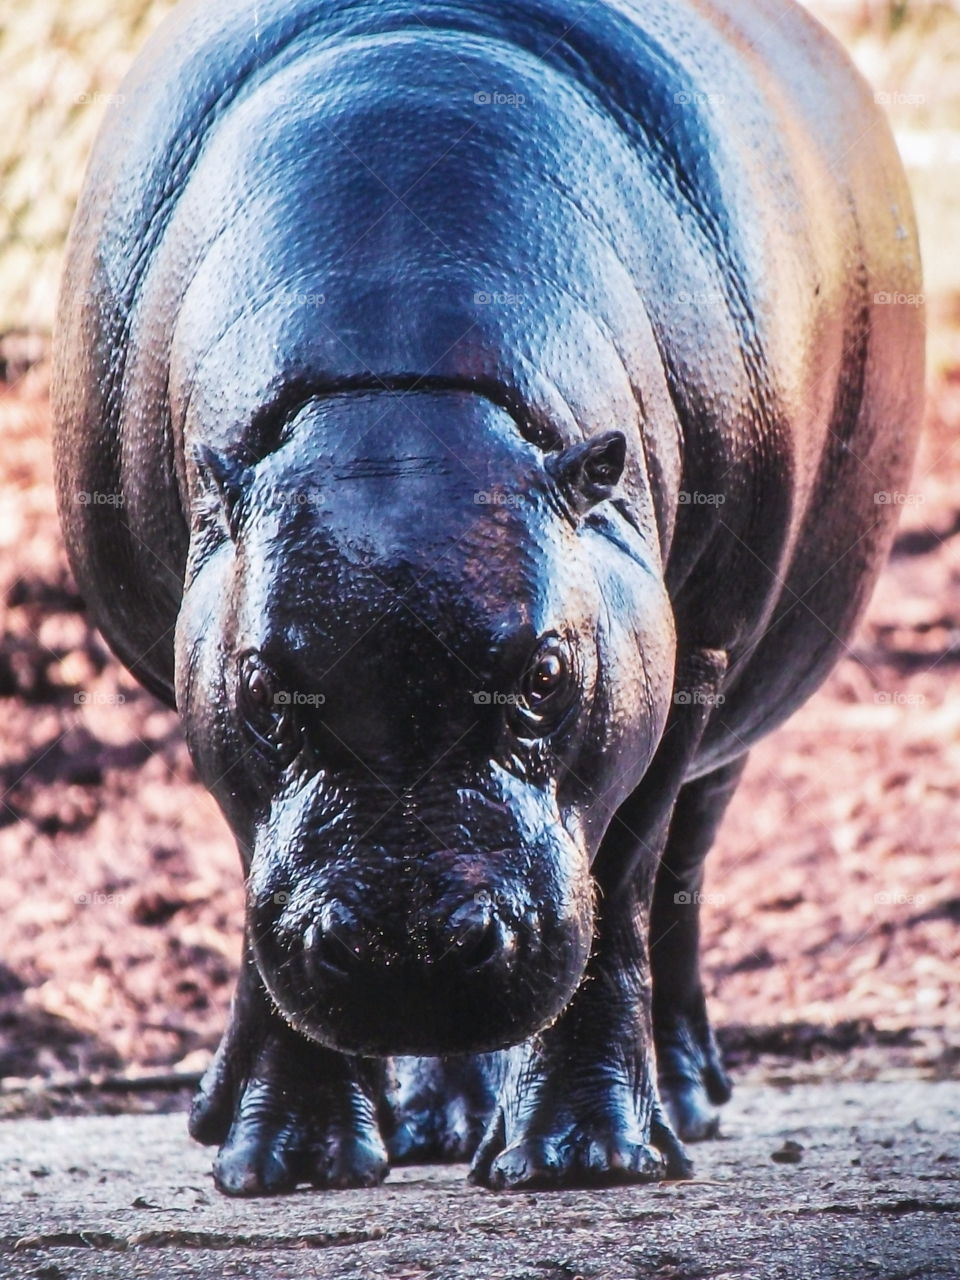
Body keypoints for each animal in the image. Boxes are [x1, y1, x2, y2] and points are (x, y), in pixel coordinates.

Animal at [52, 0, 923, 1195]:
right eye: (264, 687)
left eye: (546, 674)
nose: (406, 953)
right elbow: (259, 897)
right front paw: (290, 1162)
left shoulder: (680, 660)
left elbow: (626, 883)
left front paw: (585, 1155)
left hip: (739, 697)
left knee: (685, 871)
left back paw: (678, 1101)